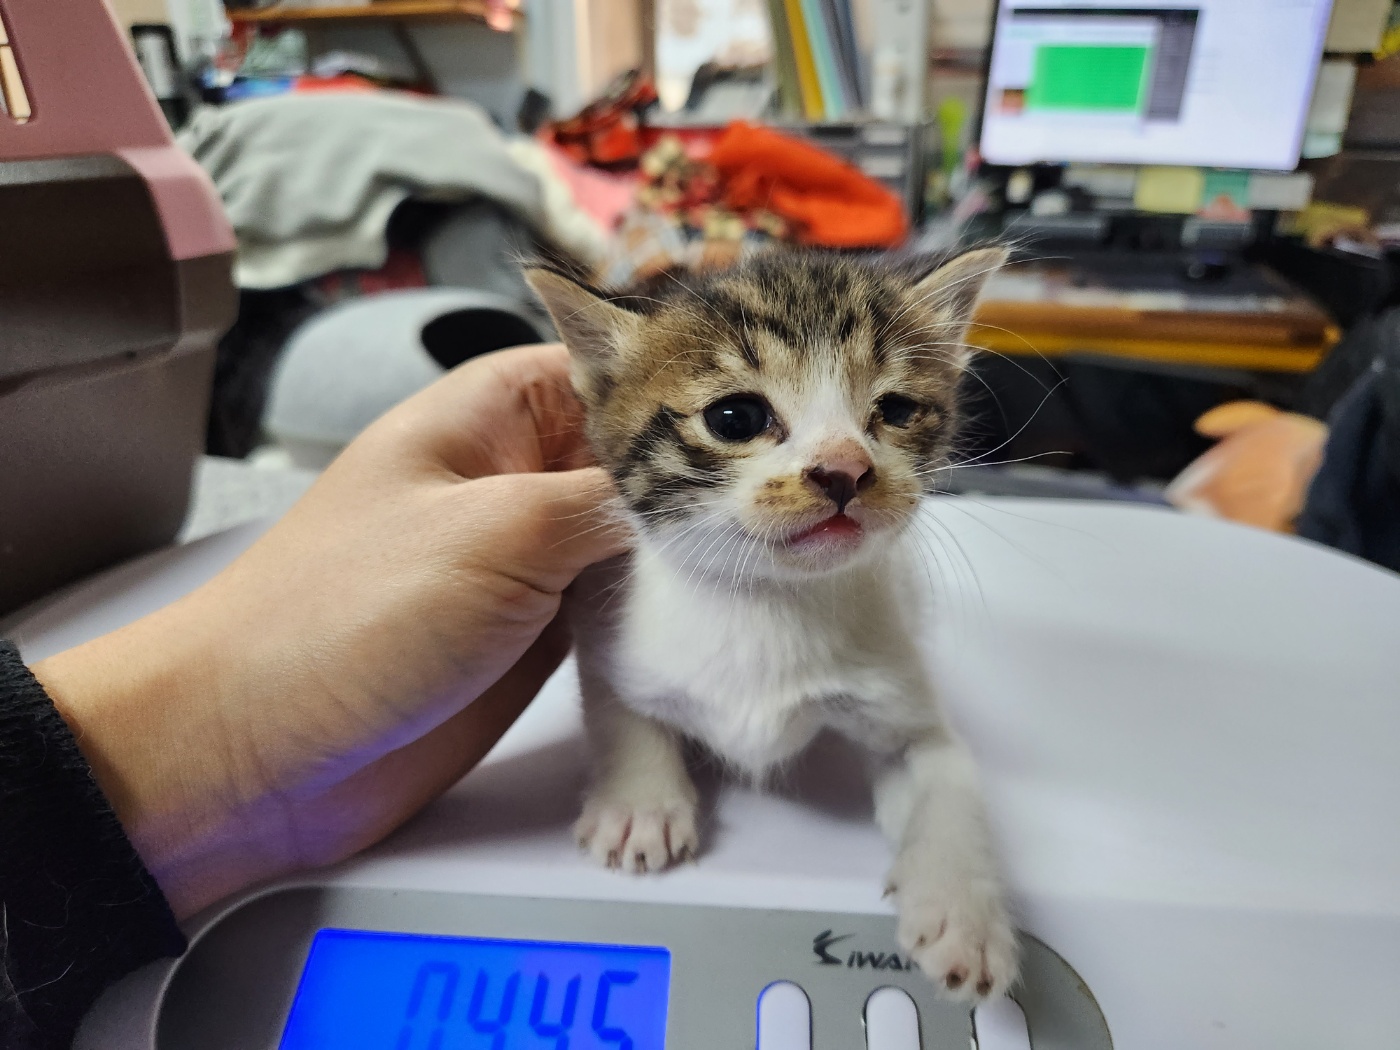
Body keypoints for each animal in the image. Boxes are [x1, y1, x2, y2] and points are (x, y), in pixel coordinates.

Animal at [526, 249, 1019, 1002]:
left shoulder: (900, 691)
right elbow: (619, 710)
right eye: (735, 417)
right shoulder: (608, 616)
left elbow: (944, 773)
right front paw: (639, 803)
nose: (845, 468)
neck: (767, 600)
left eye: (896, 410)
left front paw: (963, 910)